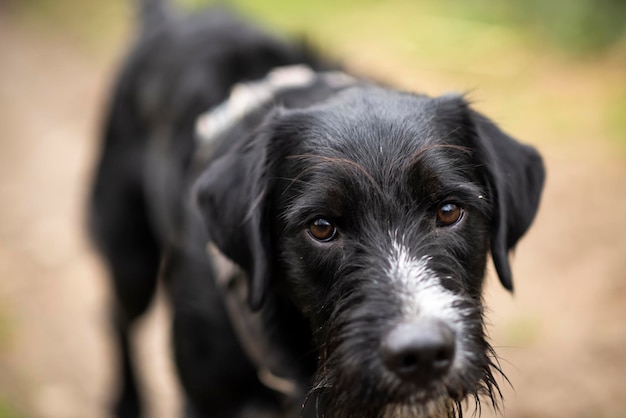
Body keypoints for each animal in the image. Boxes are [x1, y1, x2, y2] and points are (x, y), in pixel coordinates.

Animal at [90, 1, 544, 416]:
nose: (423, 354)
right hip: (129, 255)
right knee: (117, 316)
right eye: (322, 227)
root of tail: (168, 18)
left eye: (449, 210)